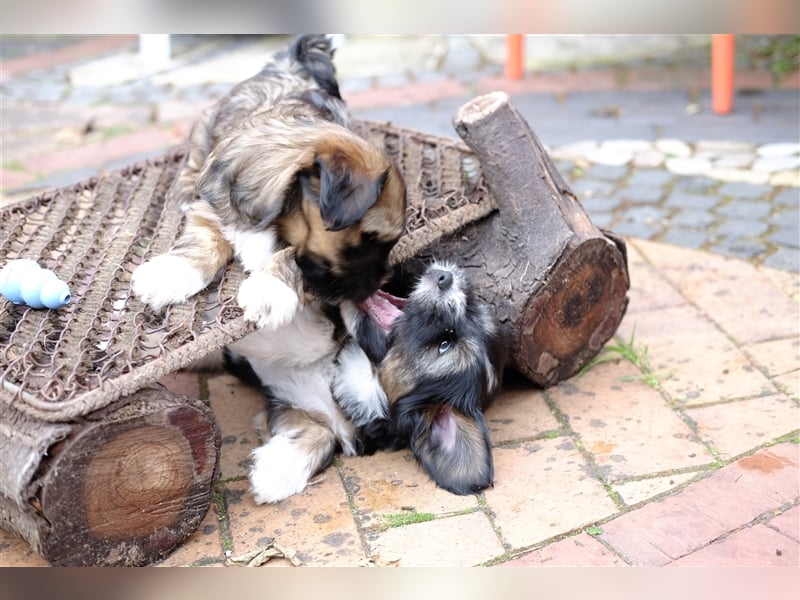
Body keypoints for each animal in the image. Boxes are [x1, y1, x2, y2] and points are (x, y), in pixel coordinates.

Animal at [134, 34, 406, 328]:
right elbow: (200, 242)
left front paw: (271, 289)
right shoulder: (213, 209)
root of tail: (288, 67)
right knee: (190, 164)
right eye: (367, 241)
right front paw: (172, 273)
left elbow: (289, 253)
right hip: (205, 129)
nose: (383, 281)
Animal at [222, 262, 504, 502]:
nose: (447, 277)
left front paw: (274, 475)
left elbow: (325, 435)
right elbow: (319, 336)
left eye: (446, 344)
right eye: (473, 308)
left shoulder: (290, 404)